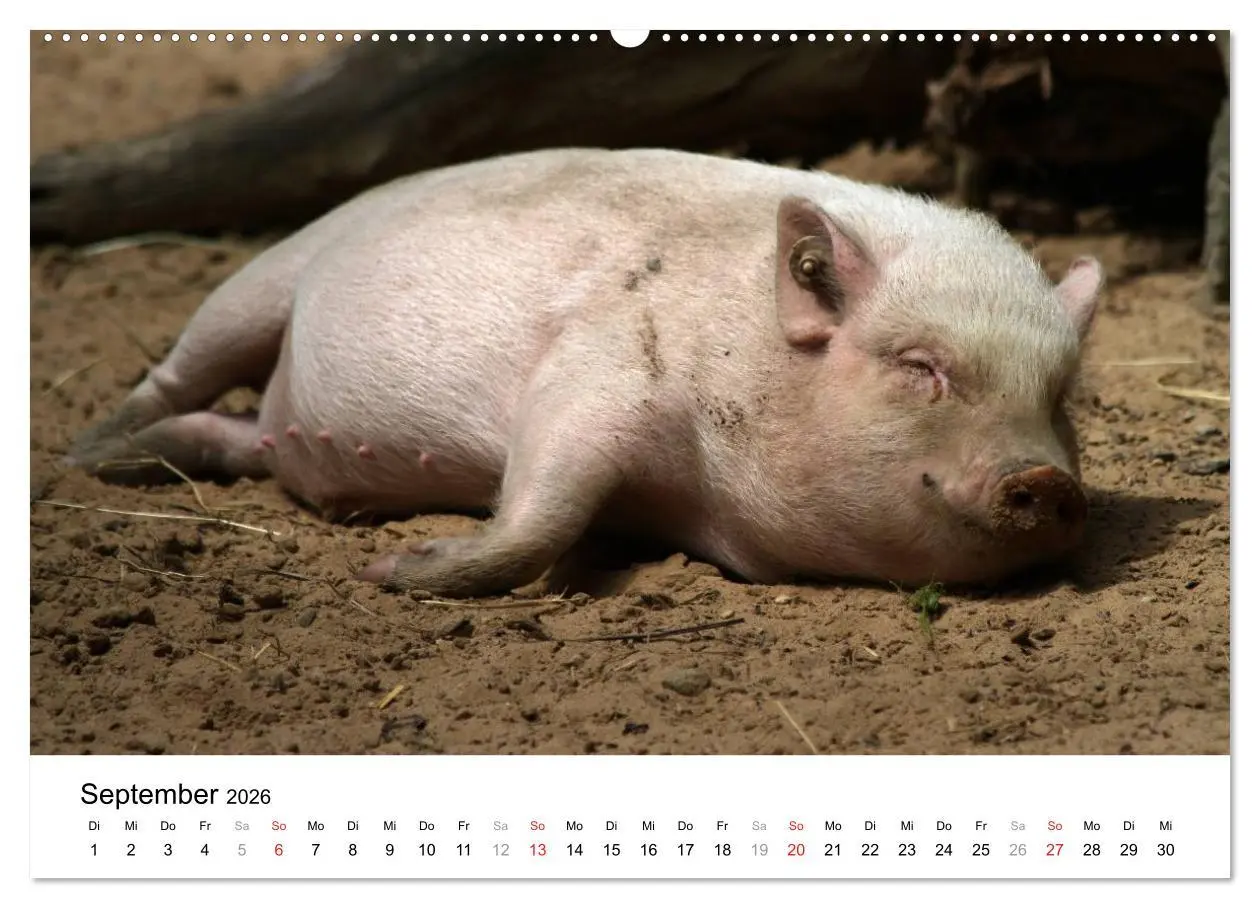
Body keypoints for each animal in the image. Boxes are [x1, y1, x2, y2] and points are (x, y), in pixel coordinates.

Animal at [66, 148, 1103, 599]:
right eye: (921, 366)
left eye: (1060, 397)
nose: (1045, 477)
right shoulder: (598, 365)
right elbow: (545, 509)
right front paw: (397, 572)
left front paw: (396, 563)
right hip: (262, 279)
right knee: (176, 374)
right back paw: (85, 460)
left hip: (268, 418)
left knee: (237, 437)